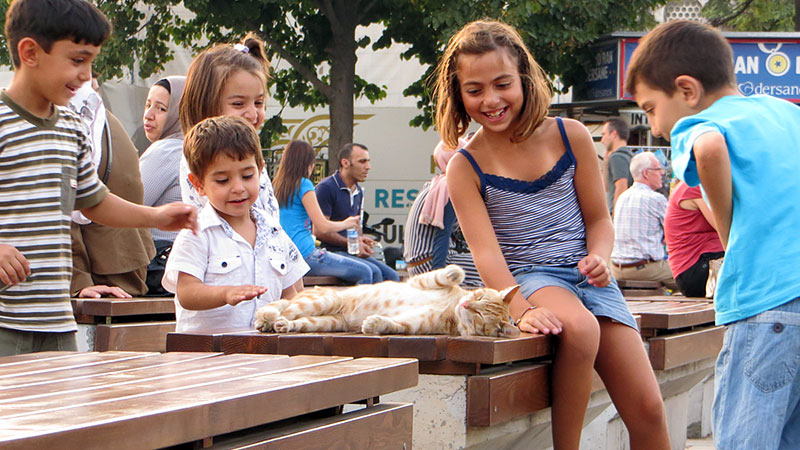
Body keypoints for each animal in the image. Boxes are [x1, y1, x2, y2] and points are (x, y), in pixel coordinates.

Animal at [253, 264, 520, 338]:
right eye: (477, 296)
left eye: (480, 315)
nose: (465, 305)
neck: (451, 309)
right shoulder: (420, 282)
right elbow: (442, 275)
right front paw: (455, 273)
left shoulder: (416, 325)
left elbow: (395, 325)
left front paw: (375, 324)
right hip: (324, 299)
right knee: (284, 308)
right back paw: (267, 319)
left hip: (327, 321)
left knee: (292, 319)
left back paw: (279, 325)